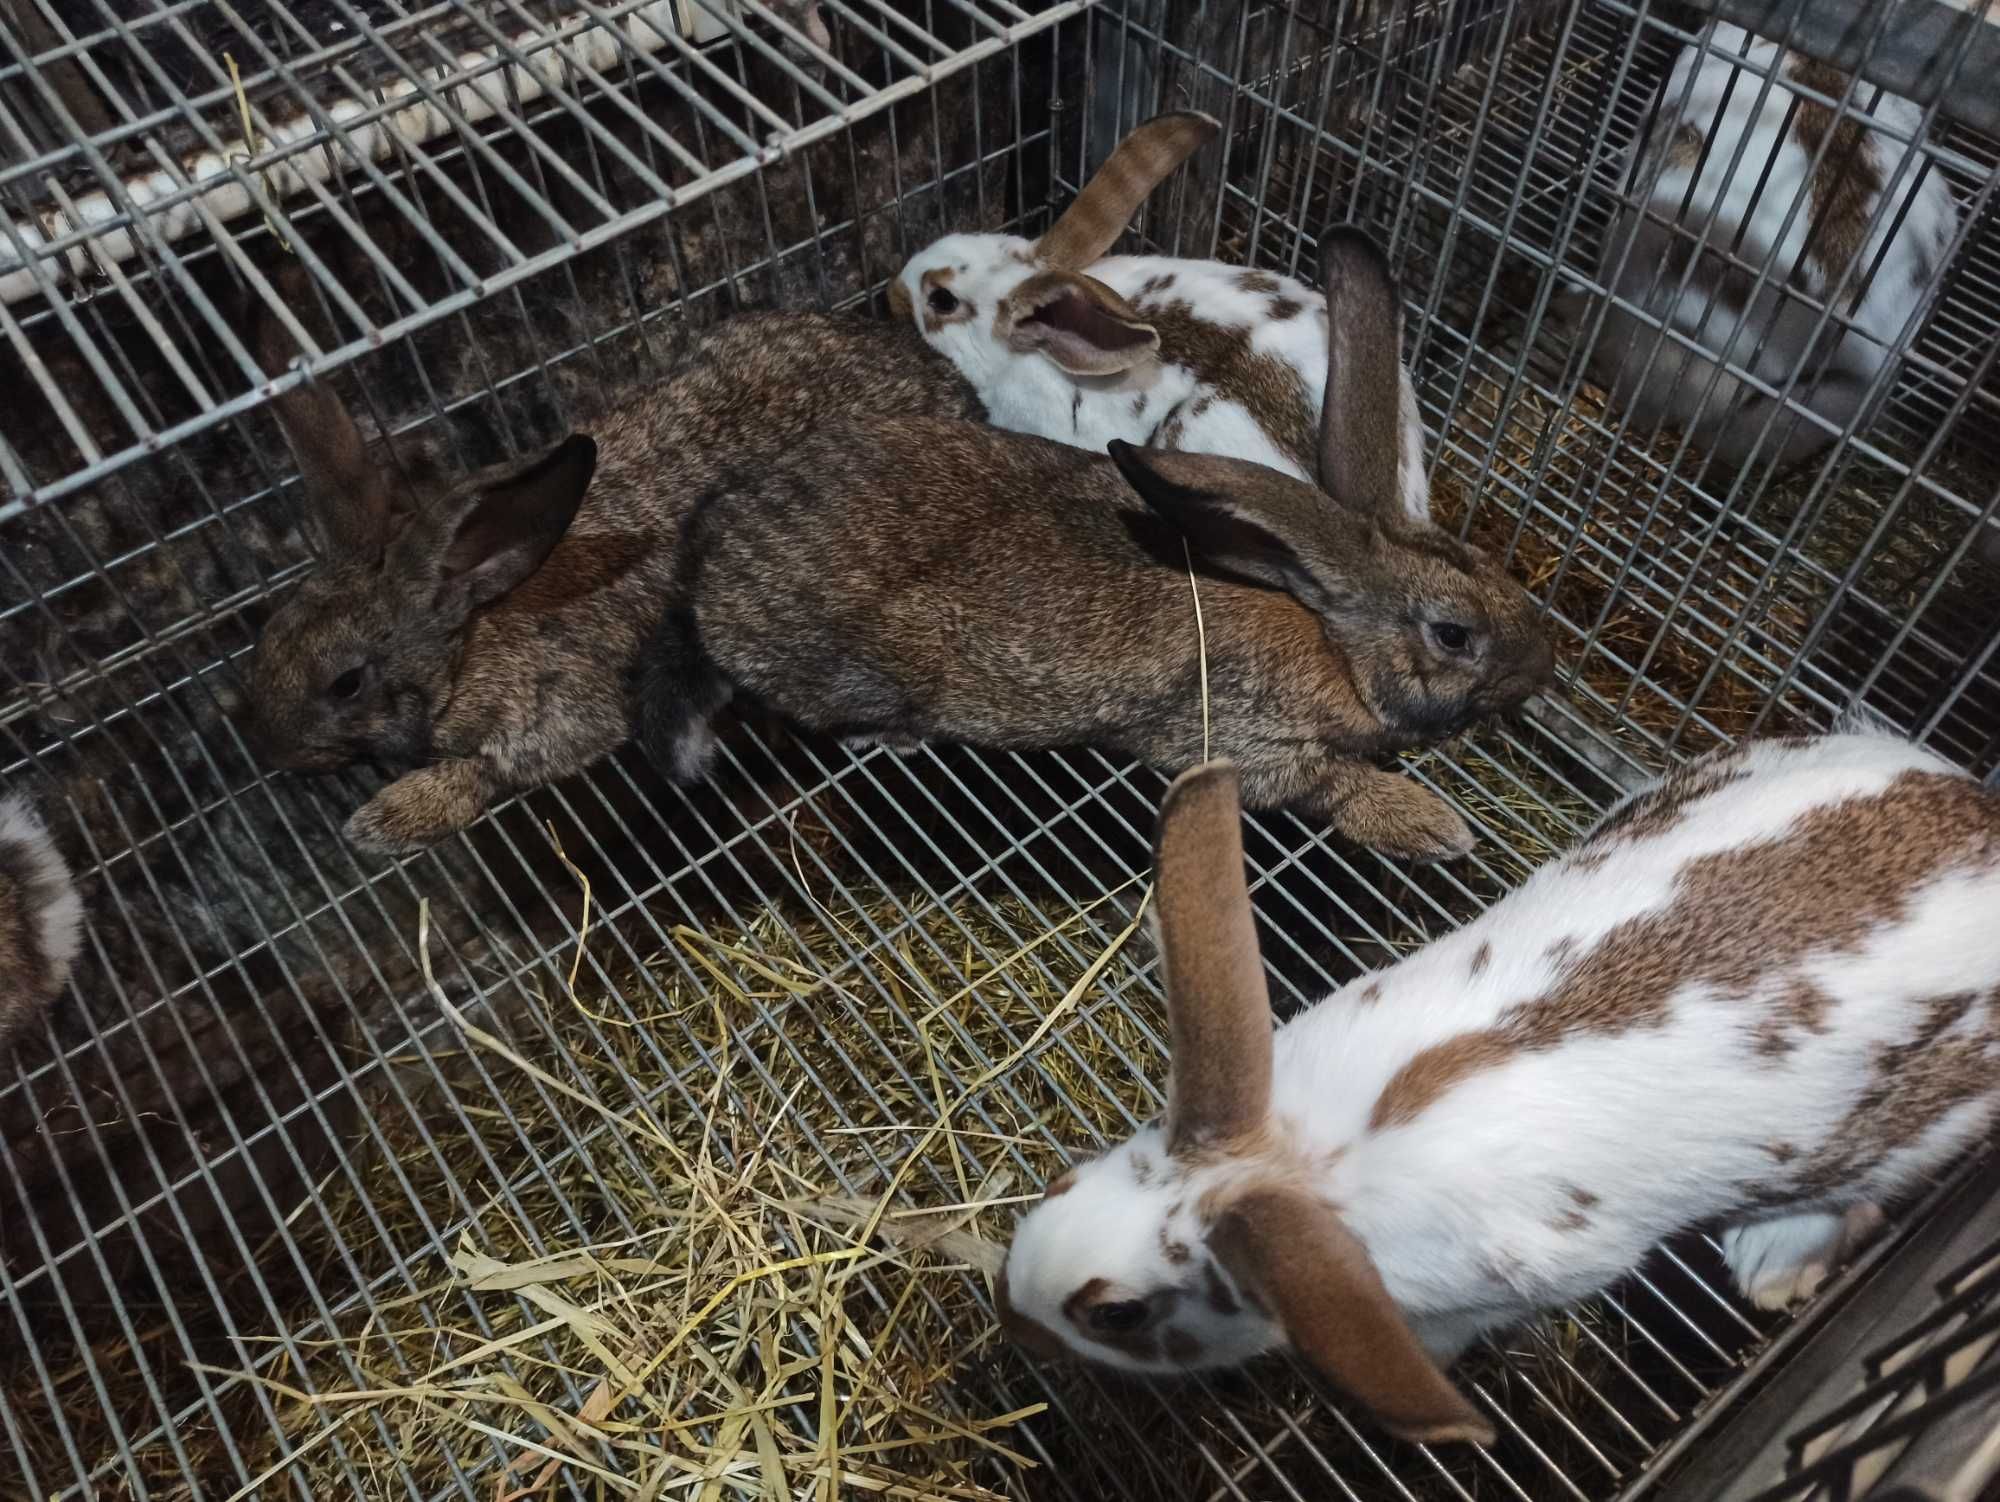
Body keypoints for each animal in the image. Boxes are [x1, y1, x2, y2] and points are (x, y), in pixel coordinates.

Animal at [242, 300, 984, 852]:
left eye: (346, 683)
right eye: (269, 638)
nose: (273, 753)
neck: (469, 636)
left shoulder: (563, 714)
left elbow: (486, 772)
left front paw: (383, 823)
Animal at [1008, 724, 2000, 1448]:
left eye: (1118, 1314)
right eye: (1057, 1181)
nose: (1016, 1322)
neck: (1312, 1163)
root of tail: (1978, 811)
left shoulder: (1490, 1297)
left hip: (1913, 1129)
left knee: (1852, 1196)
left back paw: (1770, 1271)